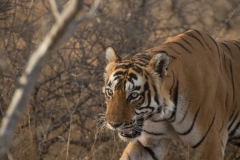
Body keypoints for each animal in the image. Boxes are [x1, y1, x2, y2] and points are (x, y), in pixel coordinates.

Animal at [102, 29, 240, 159]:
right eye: (110, 92)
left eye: (134, 95)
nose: (113, 124)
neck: (166, 114)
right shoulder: (150, 140)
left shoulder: (211, 141)